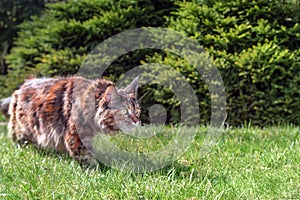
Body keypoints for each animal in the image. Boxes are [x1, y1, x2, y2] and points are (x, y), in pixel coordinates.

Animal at [0, 76, 141, 166]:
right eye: (124, 112)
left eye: (137, 111)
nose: (137, 121)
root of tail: (21, 87)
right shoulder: (75, 136)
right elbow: (86, 159)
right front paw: (96, 173)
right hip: (23, 128)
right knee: (18, 138)